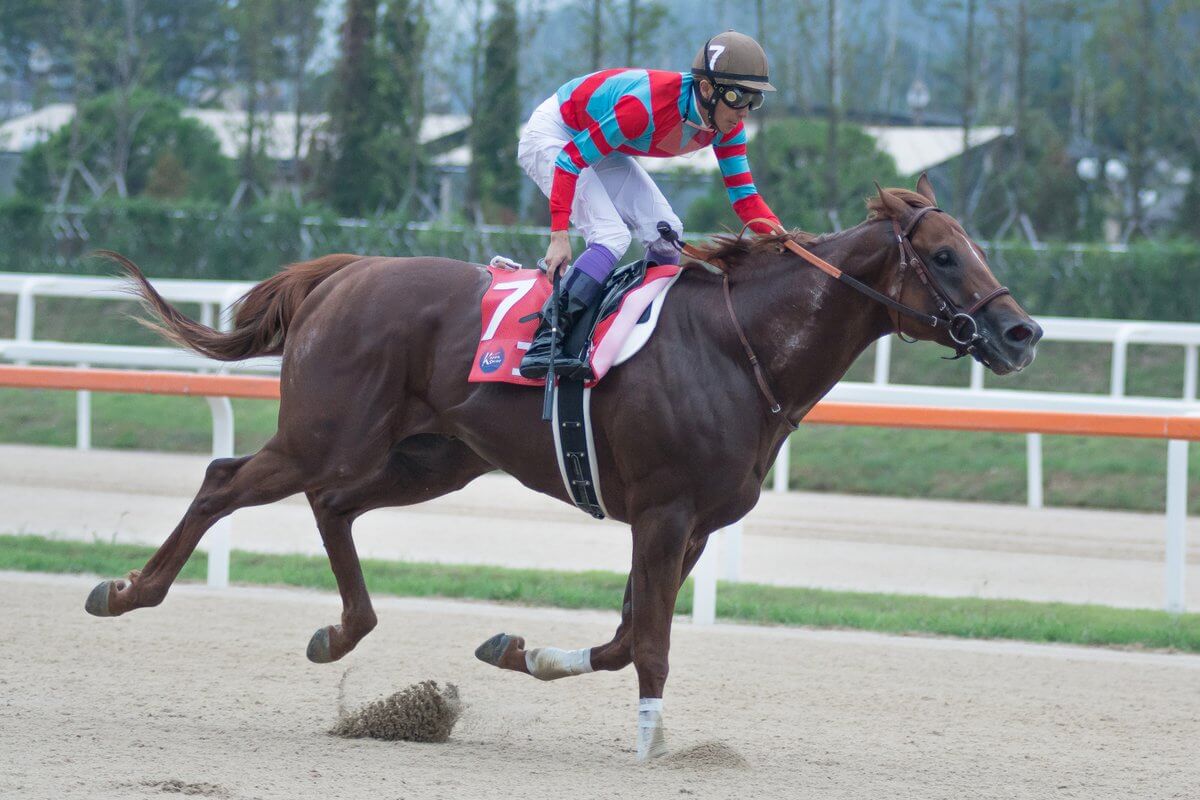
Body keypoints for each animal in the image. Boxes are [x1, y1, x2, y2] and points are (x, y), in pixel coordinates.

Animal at [84, 176, 1041, 760]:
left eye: (975, 249)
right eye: (946, 255)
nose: (1022, 330)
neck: (742, 348)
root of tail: (344, 273)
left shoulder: (691, 526)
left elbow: (621, 638)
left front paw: (519, 650)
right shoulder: (663, 513)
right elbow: (648, 643)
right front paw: (654, 749)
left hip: (433, 458)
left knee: (334, 507)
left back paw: (341, 631)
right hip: (327, 434)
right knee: (225, 479)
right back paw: (128, 591)